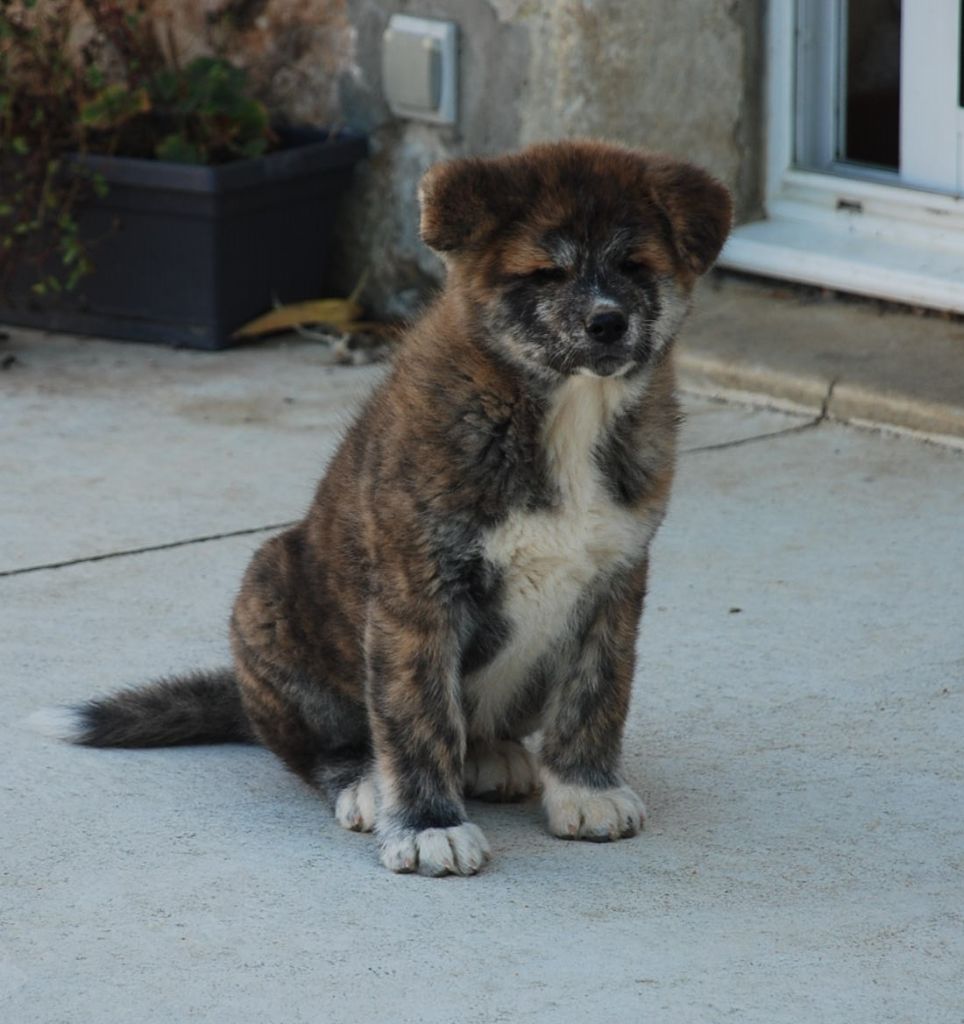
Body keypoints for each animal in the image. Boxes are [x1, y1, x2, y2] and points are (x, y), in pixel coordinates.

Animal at [39, 140, 729, 876]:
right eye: (545, 272)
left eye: (635, 266)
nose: (608, 322)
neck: (567, 412)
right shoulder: (417, 588)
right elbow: (416, 714)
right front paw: (429, 826)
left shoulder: (614, 582)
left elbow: (596, 692)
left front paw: (585, 789)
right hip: (268, 589)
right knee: (328, 747)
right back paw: (367, 783)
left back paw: (492, 754)